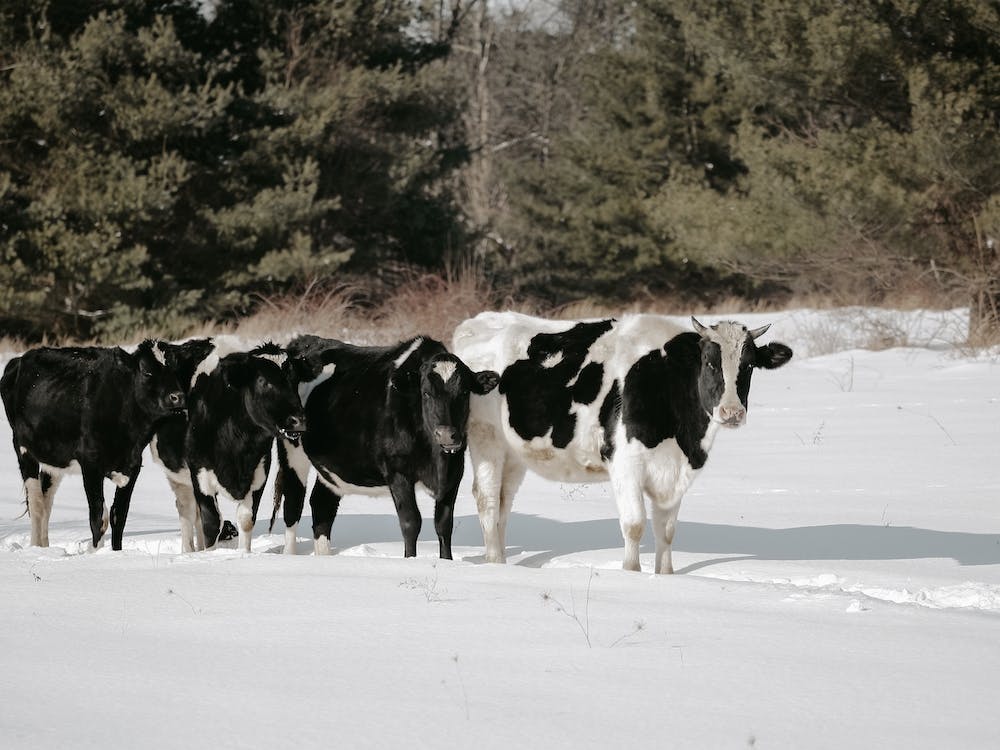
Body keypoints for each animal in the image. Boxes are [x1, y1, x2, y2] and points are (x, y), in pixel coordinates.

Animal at [1, 340, 186, 550]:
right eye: (147, 371)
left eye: (175, 370)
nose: (177, 397)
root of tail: (18, 360)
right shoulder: (90, 463)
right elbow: (98, 517)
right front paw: (95, 553)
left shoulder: (133, 466)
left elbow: (118, 516)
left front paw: (116, 552)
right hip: (23, 448)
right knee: (36, 503)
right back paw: (35, 548)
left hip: (53, 457)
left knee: (46, 500)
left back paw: (45, 547)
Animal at [184, 342, 306, 552]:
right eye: (264, 382)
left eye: (295, 380)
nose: (298, 420)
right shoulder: (199, 473)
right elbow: (211, 523)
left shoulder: (259, 471)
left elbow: (246, 519)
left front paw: (244, 553)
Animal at [271, 335, 499, 559]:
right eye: (426, 393)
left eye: (464, 392)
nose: (446, 434)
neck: (436, 461)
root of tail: (301, 342)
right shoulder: (397, 471)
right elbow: (411, 522)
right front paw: (411, 560)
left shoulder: (454, 471)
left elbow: (443, 525)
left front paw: (447, 561)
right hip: (292, 452)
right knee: (293, 503)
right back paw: (289, 555)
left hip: (331, 470)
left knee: (322, 505)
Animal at [452, 312, 793, 574]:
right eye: (709, 362)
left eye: (749, 365)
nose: (732, 412)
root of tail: (475, 323)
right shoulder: (625, 462)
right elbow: (634, 524)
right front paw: (631, 574)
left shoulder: (673, 470)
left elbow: (666, 531)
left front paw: (665, 576)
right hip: (486, 439)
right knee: (487, 499)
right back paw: (495, 563)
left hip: (514, 452)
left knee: (504, 502)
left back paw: (503, 561)